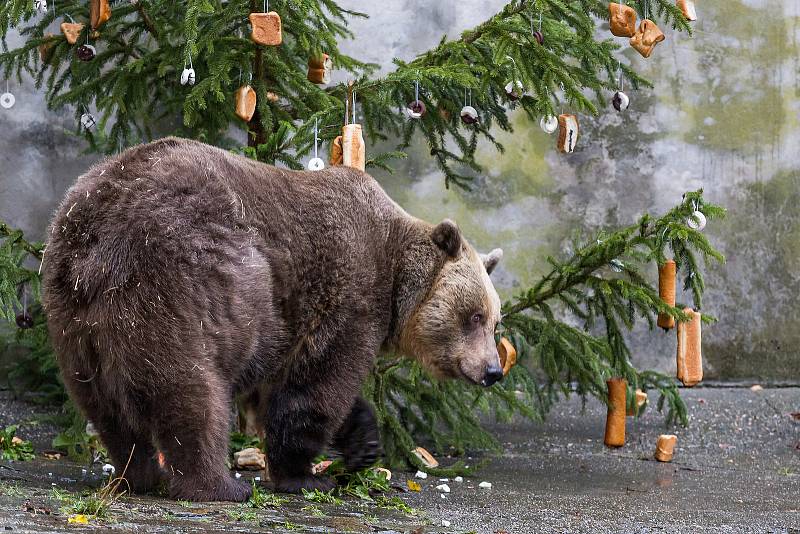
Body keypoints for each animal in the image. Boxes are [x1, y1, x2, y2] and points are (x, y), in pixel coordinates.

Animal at [40, 137, 504, 502]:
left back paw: (136, 473)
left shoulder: (287, 327)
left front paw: (364, 444)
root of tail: (98, 235)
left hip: (75, 315)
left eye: (494, 321)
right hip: (182, 280)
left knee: (104, 404)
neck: (394, 279)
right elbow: (317, 385)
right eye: (474, 315)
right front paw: (304, 476)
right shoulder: (346, 294)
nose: (493, 370)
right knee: (191, 389)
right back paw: (218, 486)